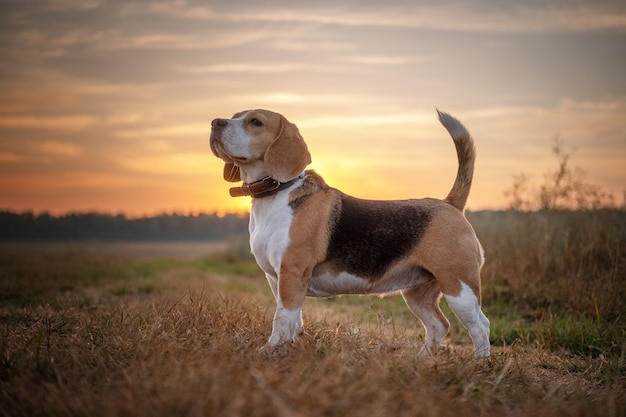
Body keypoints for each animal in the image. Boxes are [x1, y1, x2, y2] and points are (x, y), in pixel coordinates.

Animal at [208, 109, 488, 356]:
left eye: (255, 122)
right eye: (234, 117)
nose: (215, 122)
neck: (276, 191)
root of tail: (449, 204)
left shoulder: (291, 275)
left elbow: (282, 321)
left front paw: (270, 351)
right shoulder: (277, 280)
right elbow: (293, 323)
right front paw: (287, 351)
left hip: (459, 287)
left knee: (480, 327)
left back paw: (480, 365)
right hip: (417, 293)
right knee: (439, 326)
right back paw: (419, 360)